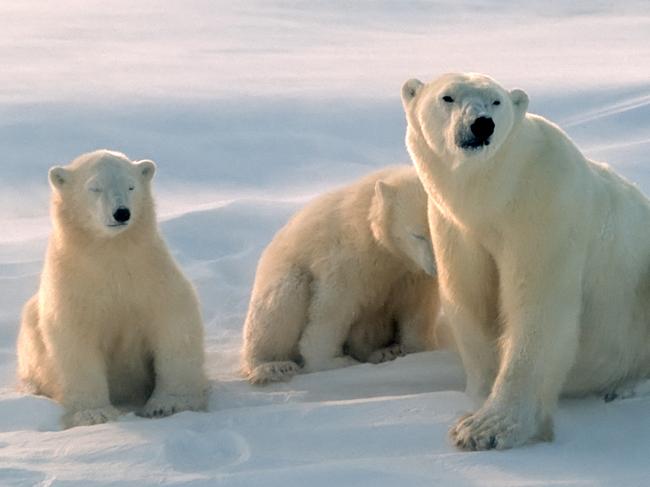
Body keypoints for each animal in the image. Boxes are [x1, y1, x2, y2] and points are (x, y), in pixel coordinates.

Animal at [17, 151, 206, 428]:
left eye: (131, 186)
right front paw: (94, 413)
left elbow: (173, 325)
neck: (112, 252)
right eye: (95, 187)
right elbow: (76, 342)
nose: (122, 213)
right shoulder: (75, 286)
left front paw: (168, 404)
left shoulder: (152, 277)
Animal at [240, 168, 438, 386]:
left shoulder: (412, 274)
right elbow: (334, 306)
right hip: (280, 279)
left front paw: (415, 349)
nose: (436, 266)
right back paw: (273, 366)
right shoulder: (351, 255)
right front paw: (332, 362)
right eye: (417, 235)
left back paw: (384, 352)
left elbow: (416, 310)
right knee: (283, 302)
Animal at [400, 71, 650, 450]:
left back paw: (627, 386)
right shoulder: (454, 227)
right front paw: (479, 394)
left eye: (497, 101)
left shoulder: (544, 207)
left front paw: (486, 428)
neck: (497, 193)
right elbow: (469, 301)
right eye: (447, 97)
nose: (481, 124)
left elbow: (538, 308)